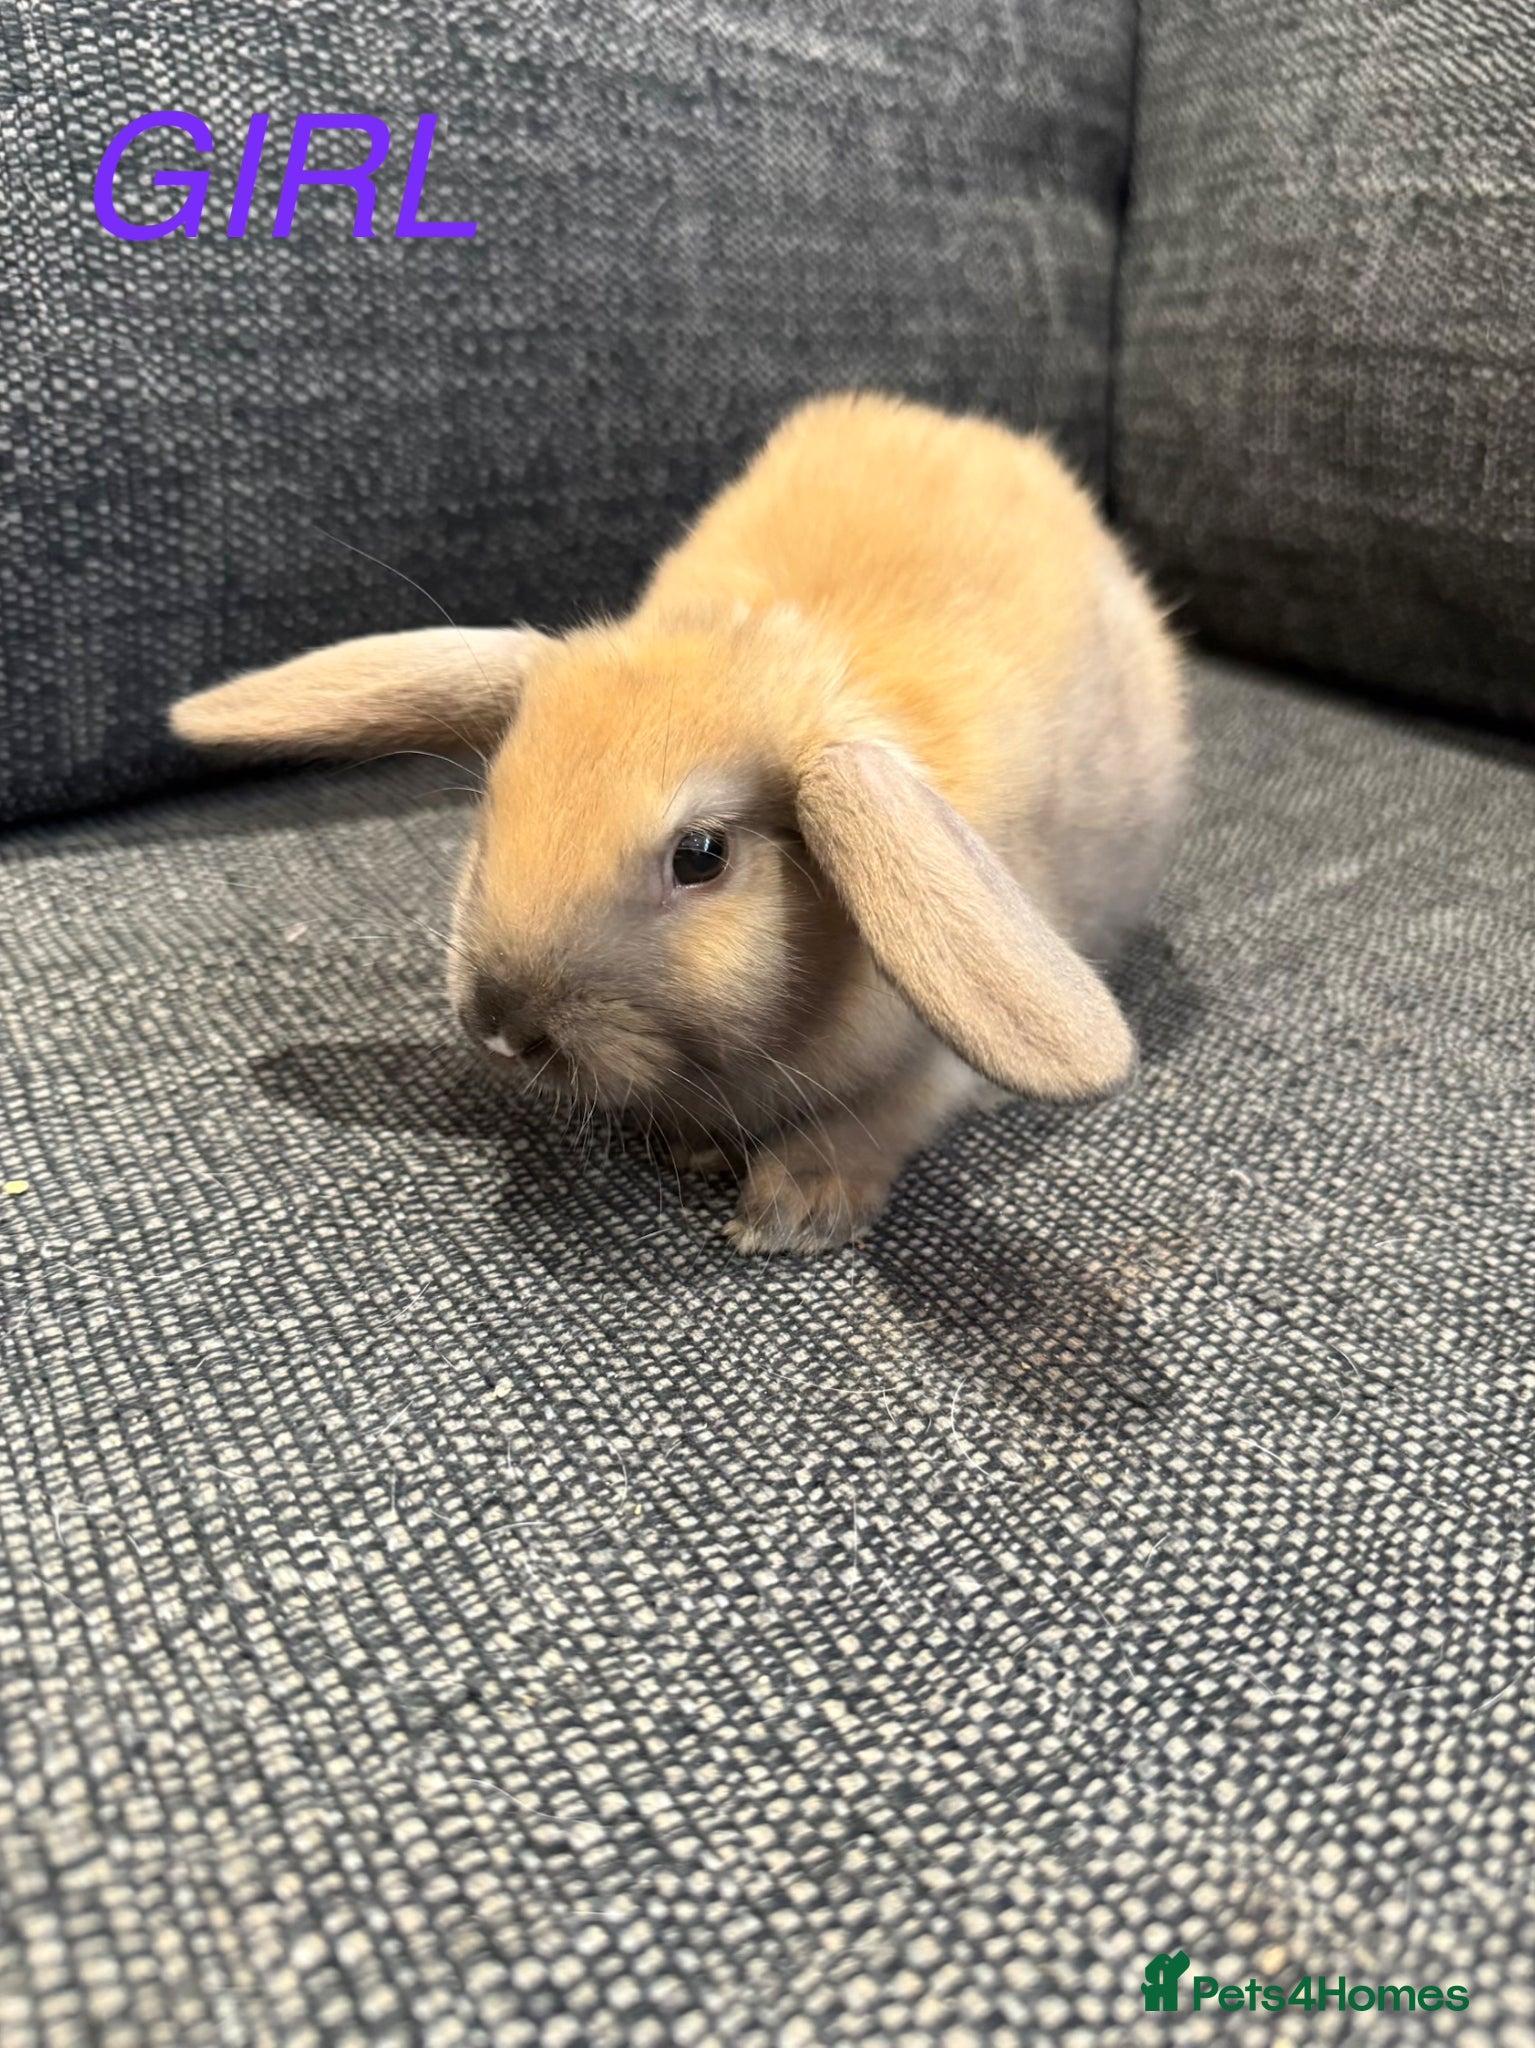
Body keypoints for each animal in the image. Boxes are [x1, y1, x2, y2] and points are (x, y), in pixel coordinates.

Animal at [170, 392, 1187, 1253]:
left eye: (701, 856)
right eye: (495, 802)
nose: (500, 1026)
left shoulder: (934, 1060)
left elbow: (886, 1116)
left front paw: (793, 1208)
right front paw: (692, 1149)